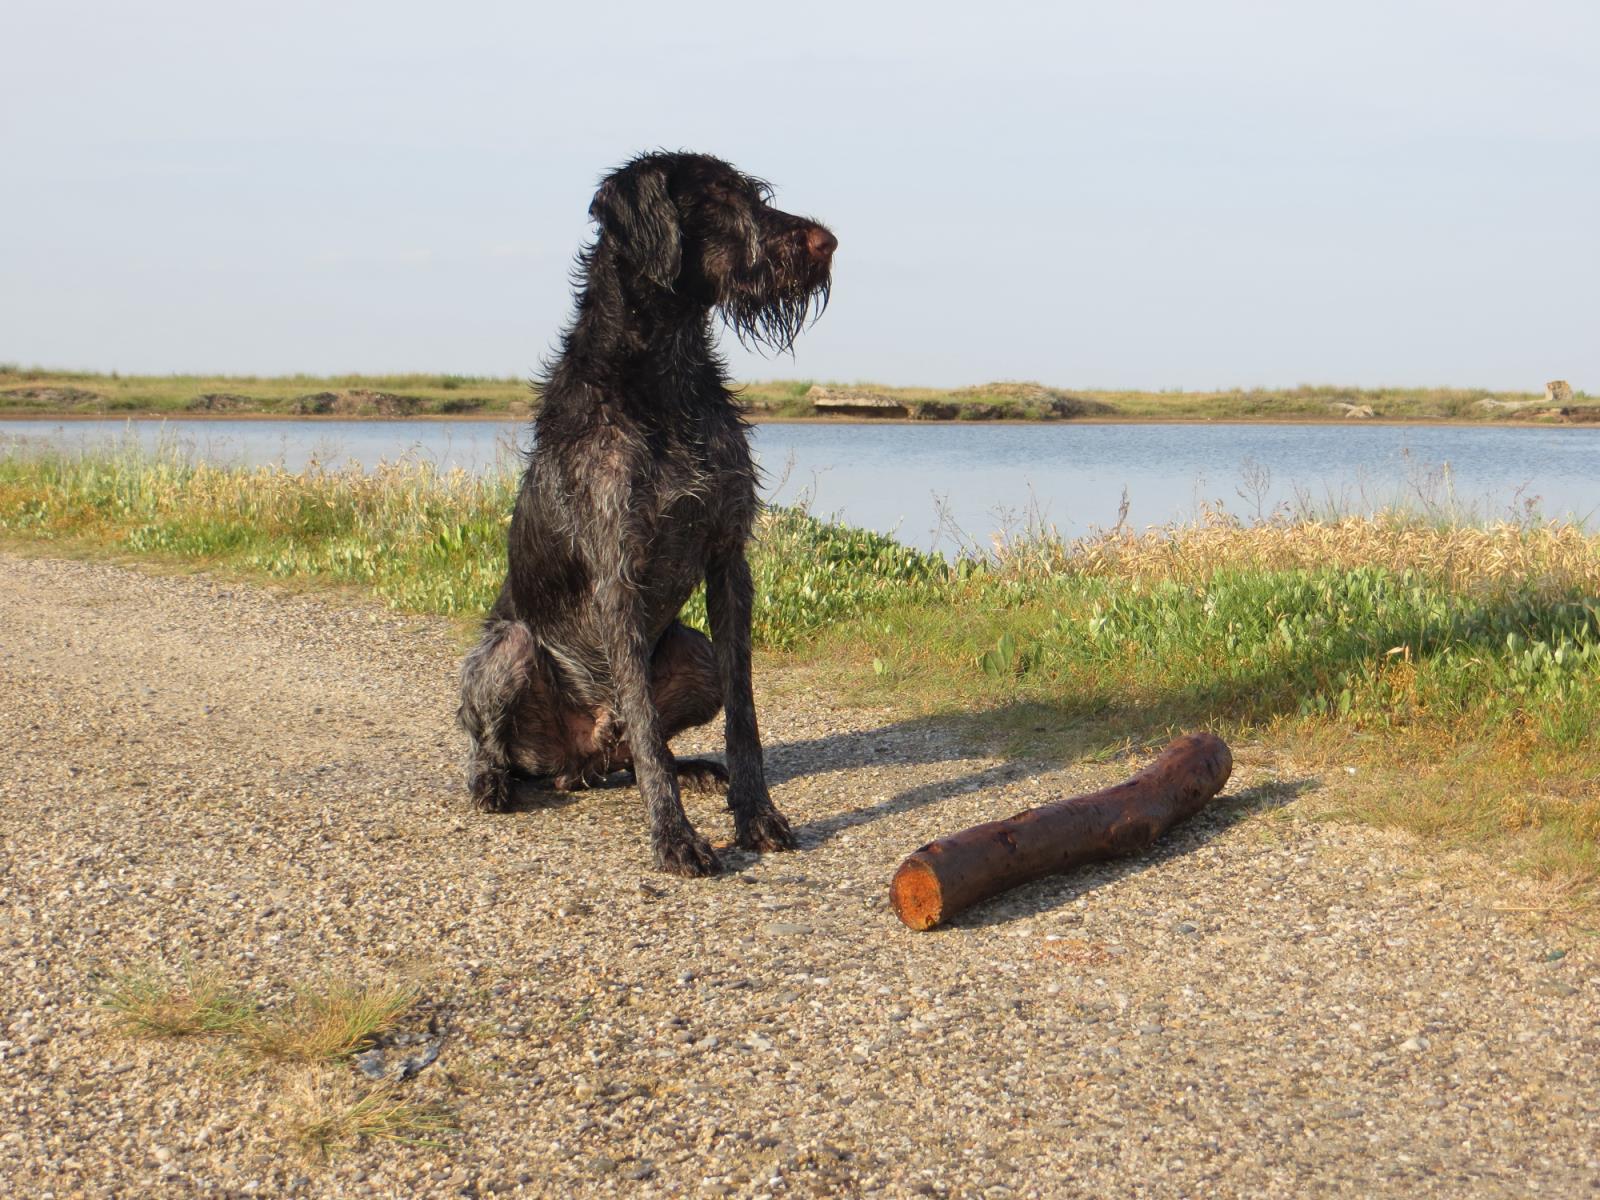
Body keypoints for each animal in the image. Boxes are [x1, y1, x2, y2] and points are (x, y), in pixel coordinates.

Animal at [458, 151, 837, 876]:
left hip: (692, 652)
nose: (825, 243)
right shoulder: (618, 574)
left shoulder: (727, 559)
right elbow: (643, 716)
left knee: (639, 746)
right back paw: (490, 780)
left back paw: (687, 768)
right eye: (715, 199)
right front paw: (674, 836)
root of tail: (577, 761)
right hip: (509, 649)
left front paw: (755, 814)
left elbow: (744, 714)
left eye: (754, 194)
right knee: (504, 742)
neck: (665, 377)